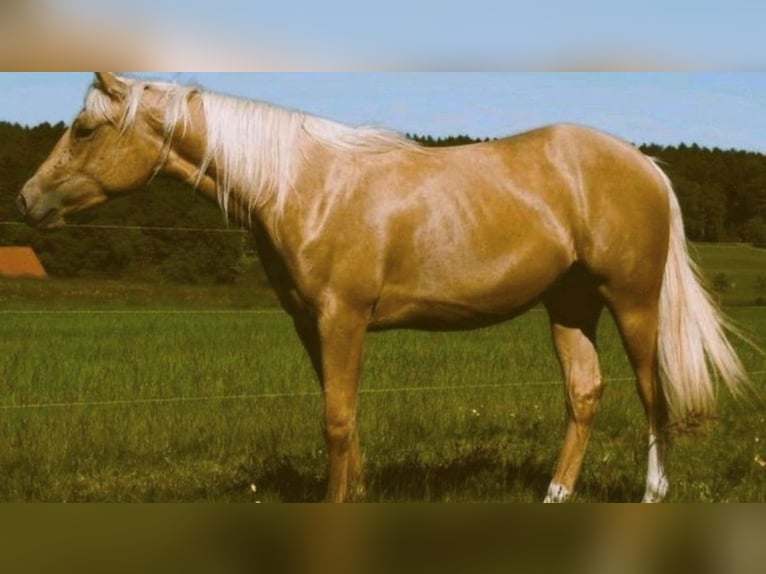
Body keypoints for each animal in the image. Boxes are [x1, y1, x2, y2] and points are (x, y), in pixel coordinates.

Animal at [16, 72, 752, 504]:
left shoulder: (342, 317)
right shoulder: (311, 324)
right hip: (569, 304)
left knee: (653, 392)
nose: (26, 200)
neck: (301, 183)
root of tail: (645, 165)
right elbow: (343, 419)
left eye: (84, 129)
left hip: (631, 301)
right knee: (585, 393)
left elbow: (336, 421)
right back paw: (554, 496)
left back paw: (652, 493)